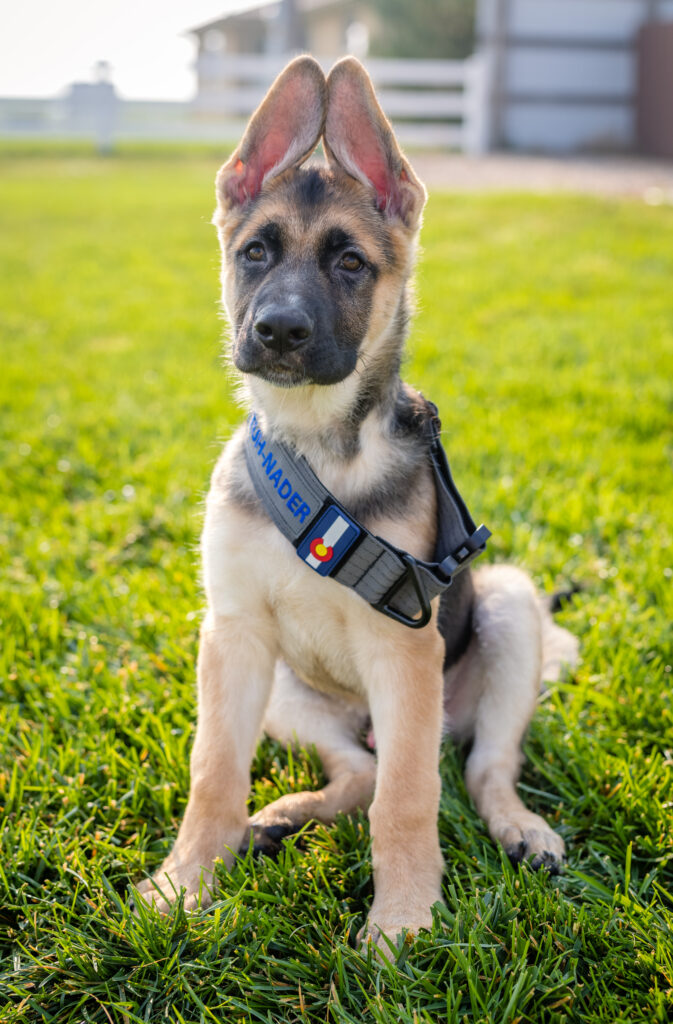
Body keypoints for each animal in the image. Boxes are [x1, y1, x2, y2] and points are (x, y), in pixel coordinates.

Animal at [136, 58, 577, 950]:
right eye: (255, 253)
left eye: (349, 264)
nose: (277, 332)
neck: (318, 452)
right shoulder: (231, 636)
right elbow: (213, 772)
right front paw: (185, 881)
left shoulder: (402, 650)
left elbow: (408, 800)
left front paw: (402, 920)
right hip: (287, 691)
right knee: (358, 768)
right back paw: (280, 816)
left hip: (508, 612)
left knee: (478, 767)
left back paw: (522, 829)